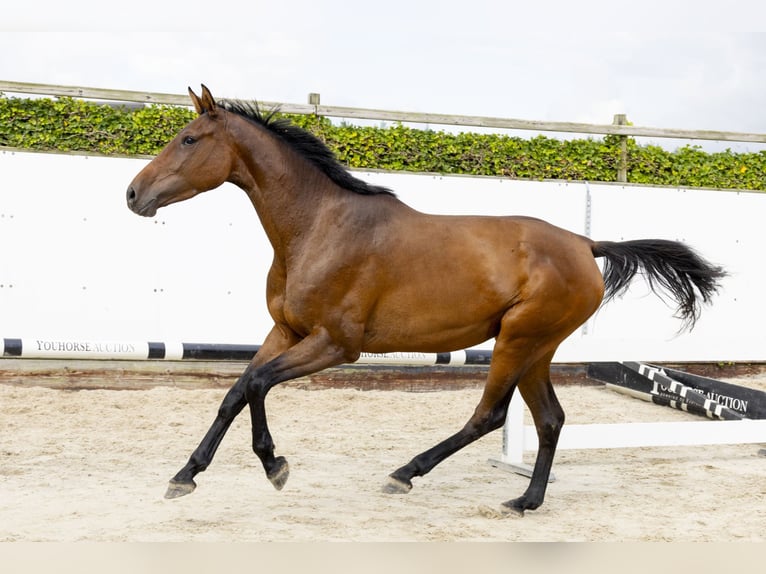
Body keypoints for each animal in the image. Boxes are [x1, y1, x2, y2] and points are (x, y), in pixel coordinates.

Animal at [124, 84, 728, 516]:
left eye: (189, 140)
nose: (133, 194)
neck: (318, 226)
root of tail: (585, 243)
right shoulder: (286, 332)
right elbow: (236, 392)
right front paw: (187, 477)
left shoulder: (335, 344)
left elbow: (255, 385)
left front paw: (272, 467)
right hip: (537, 348)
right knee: (551, 419)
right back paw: (526, 501)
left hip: (518, 340)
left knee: (489, 414)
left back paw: (404, 474)